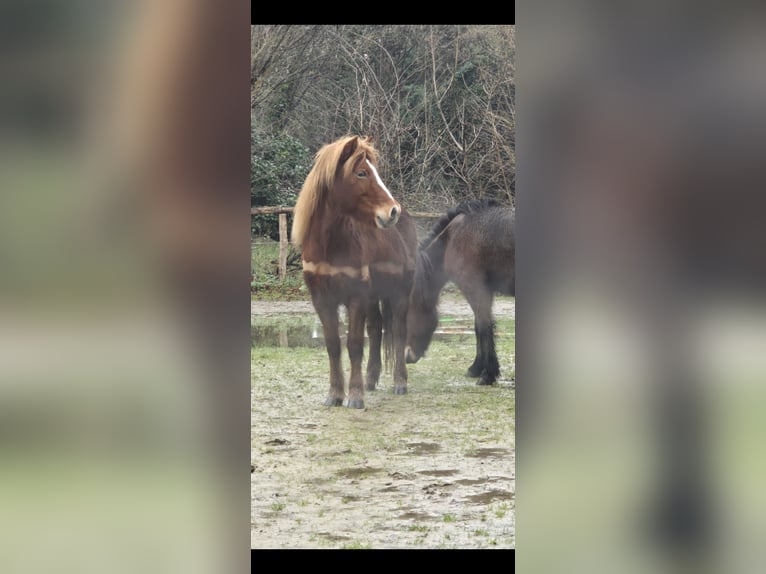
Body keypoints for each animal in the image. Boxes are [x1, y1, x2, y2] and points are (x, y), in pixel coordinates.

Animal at [292, 136, 420, 410]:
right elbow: (333, 345)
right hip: (373, 298)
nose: (392, 211)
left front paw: (355, 396)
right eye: (361, 173)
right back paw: (371, 379)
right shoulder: (323, 300)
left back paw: (399, 382)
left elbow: (354, 345)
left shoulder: (356, 298)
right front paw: (335, 394)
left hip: (399, 294)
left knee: (398, 331)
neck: (330, 246)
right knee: (376, 329)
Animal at [408, 199, 516, 388]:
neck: (452, 238)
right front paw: (476, 368)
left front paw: (488, 374)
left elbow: (485, 327)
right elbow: (478, 327)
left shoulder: (476, 289)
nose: (408, 357)